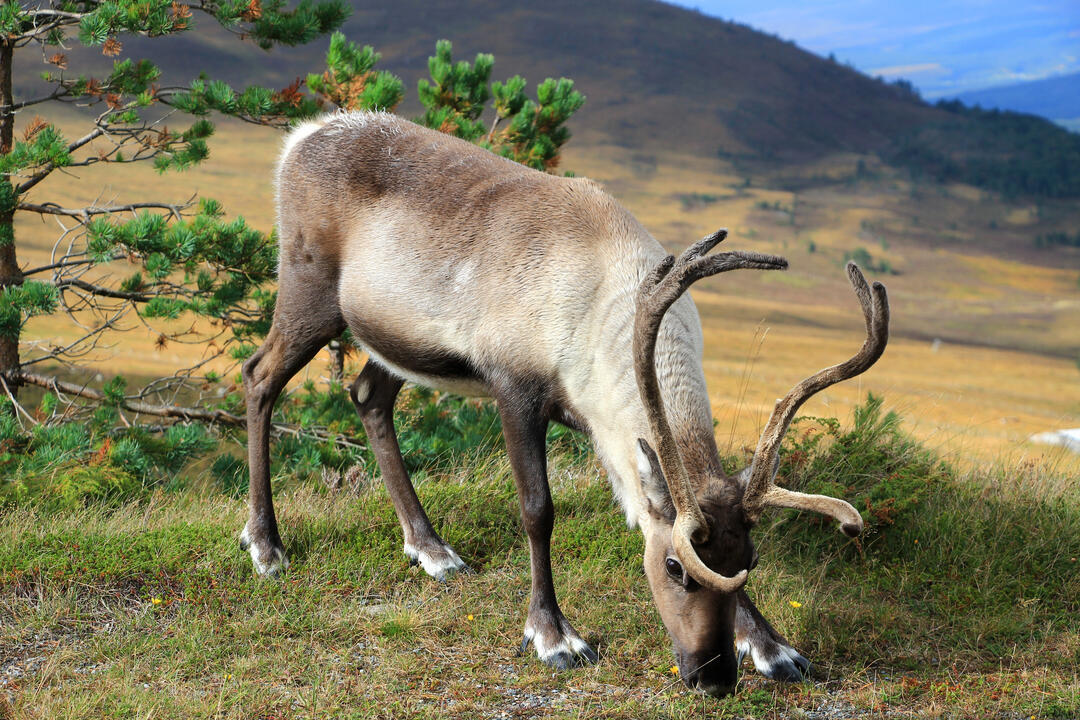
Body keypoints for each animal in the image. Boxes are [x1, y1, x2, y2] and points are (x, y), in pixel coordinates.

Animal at [239, 110, 889, 697]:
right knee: (259, 376)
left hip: (394, 338)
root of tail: (303, 135)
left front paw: (772, 647)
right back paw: (266, 545)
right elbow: (537, 510)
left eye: (747, 556)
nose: (713, 678)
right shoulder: (515, 387)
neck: (607, 303)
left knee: (369, 395)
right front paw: (553, 636)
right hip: (309, 292)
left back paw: (432, 550)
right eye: (674, 568)